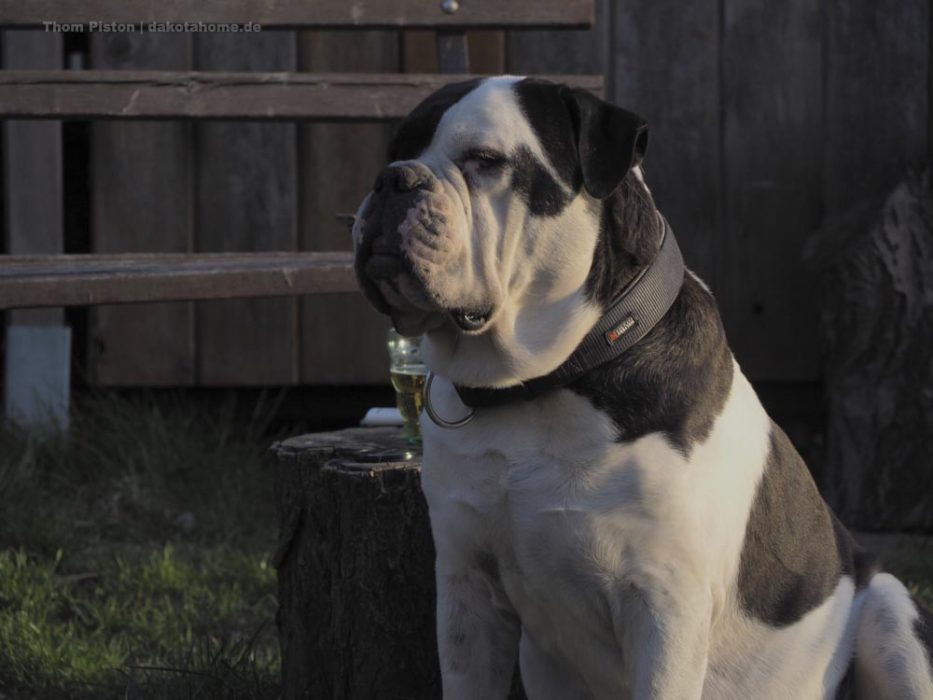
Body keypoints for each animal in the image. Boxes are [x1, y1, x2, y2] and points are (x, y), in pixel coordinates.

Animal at [352, 74, 932, 696]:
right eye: (394, 151)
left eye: (484, 161)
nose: (393, 179)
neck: (545, 381)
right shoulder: (468, 593)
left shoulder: (663, 609)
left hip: (893, 614)